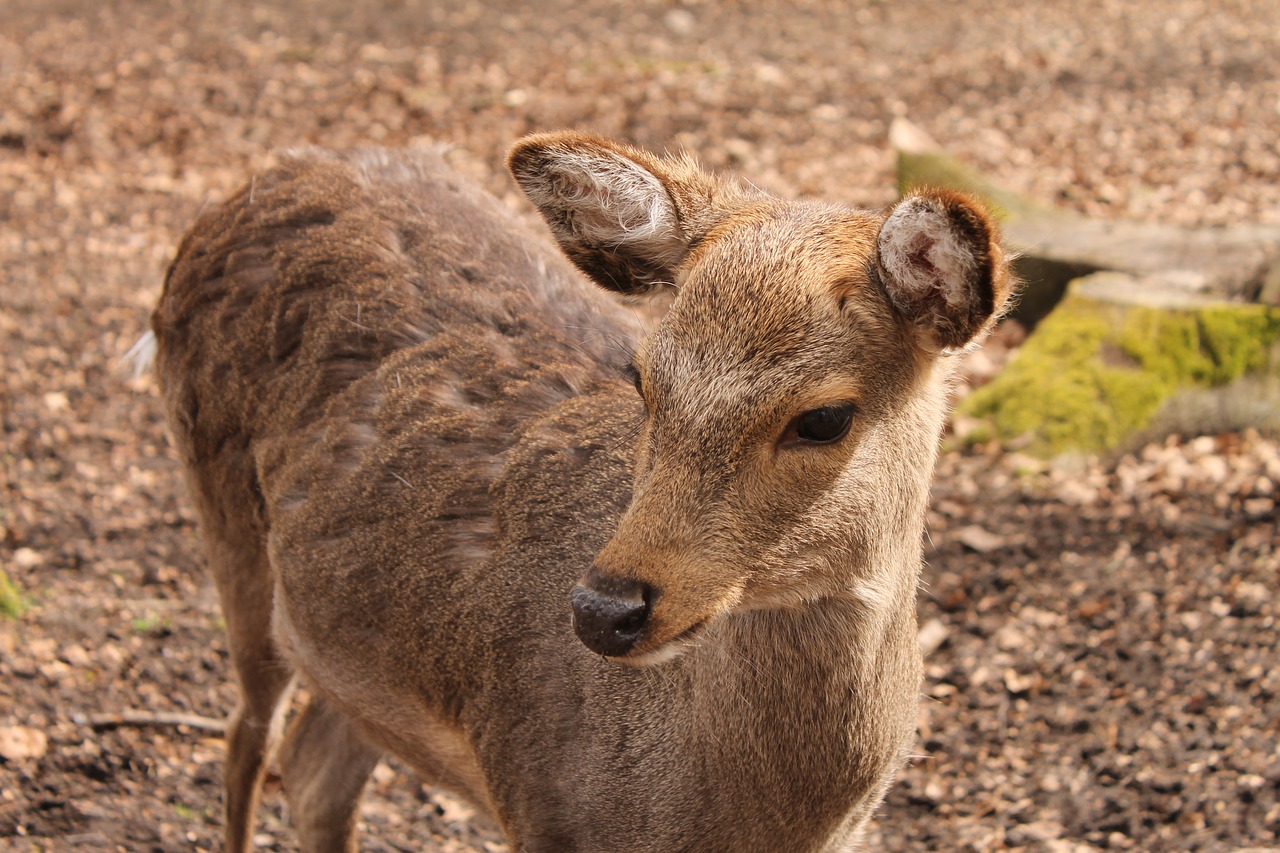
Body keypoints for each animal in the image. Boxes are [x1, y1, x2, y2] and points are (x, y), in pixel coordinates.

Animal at [147, 128, 1008, 850]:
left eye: (824, 417)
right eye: (642, 375)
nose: (604, 608)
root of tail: (267, 175)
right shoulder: (539, 805)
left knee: (313, 769)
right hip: (220, 517)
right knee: (246, 740)